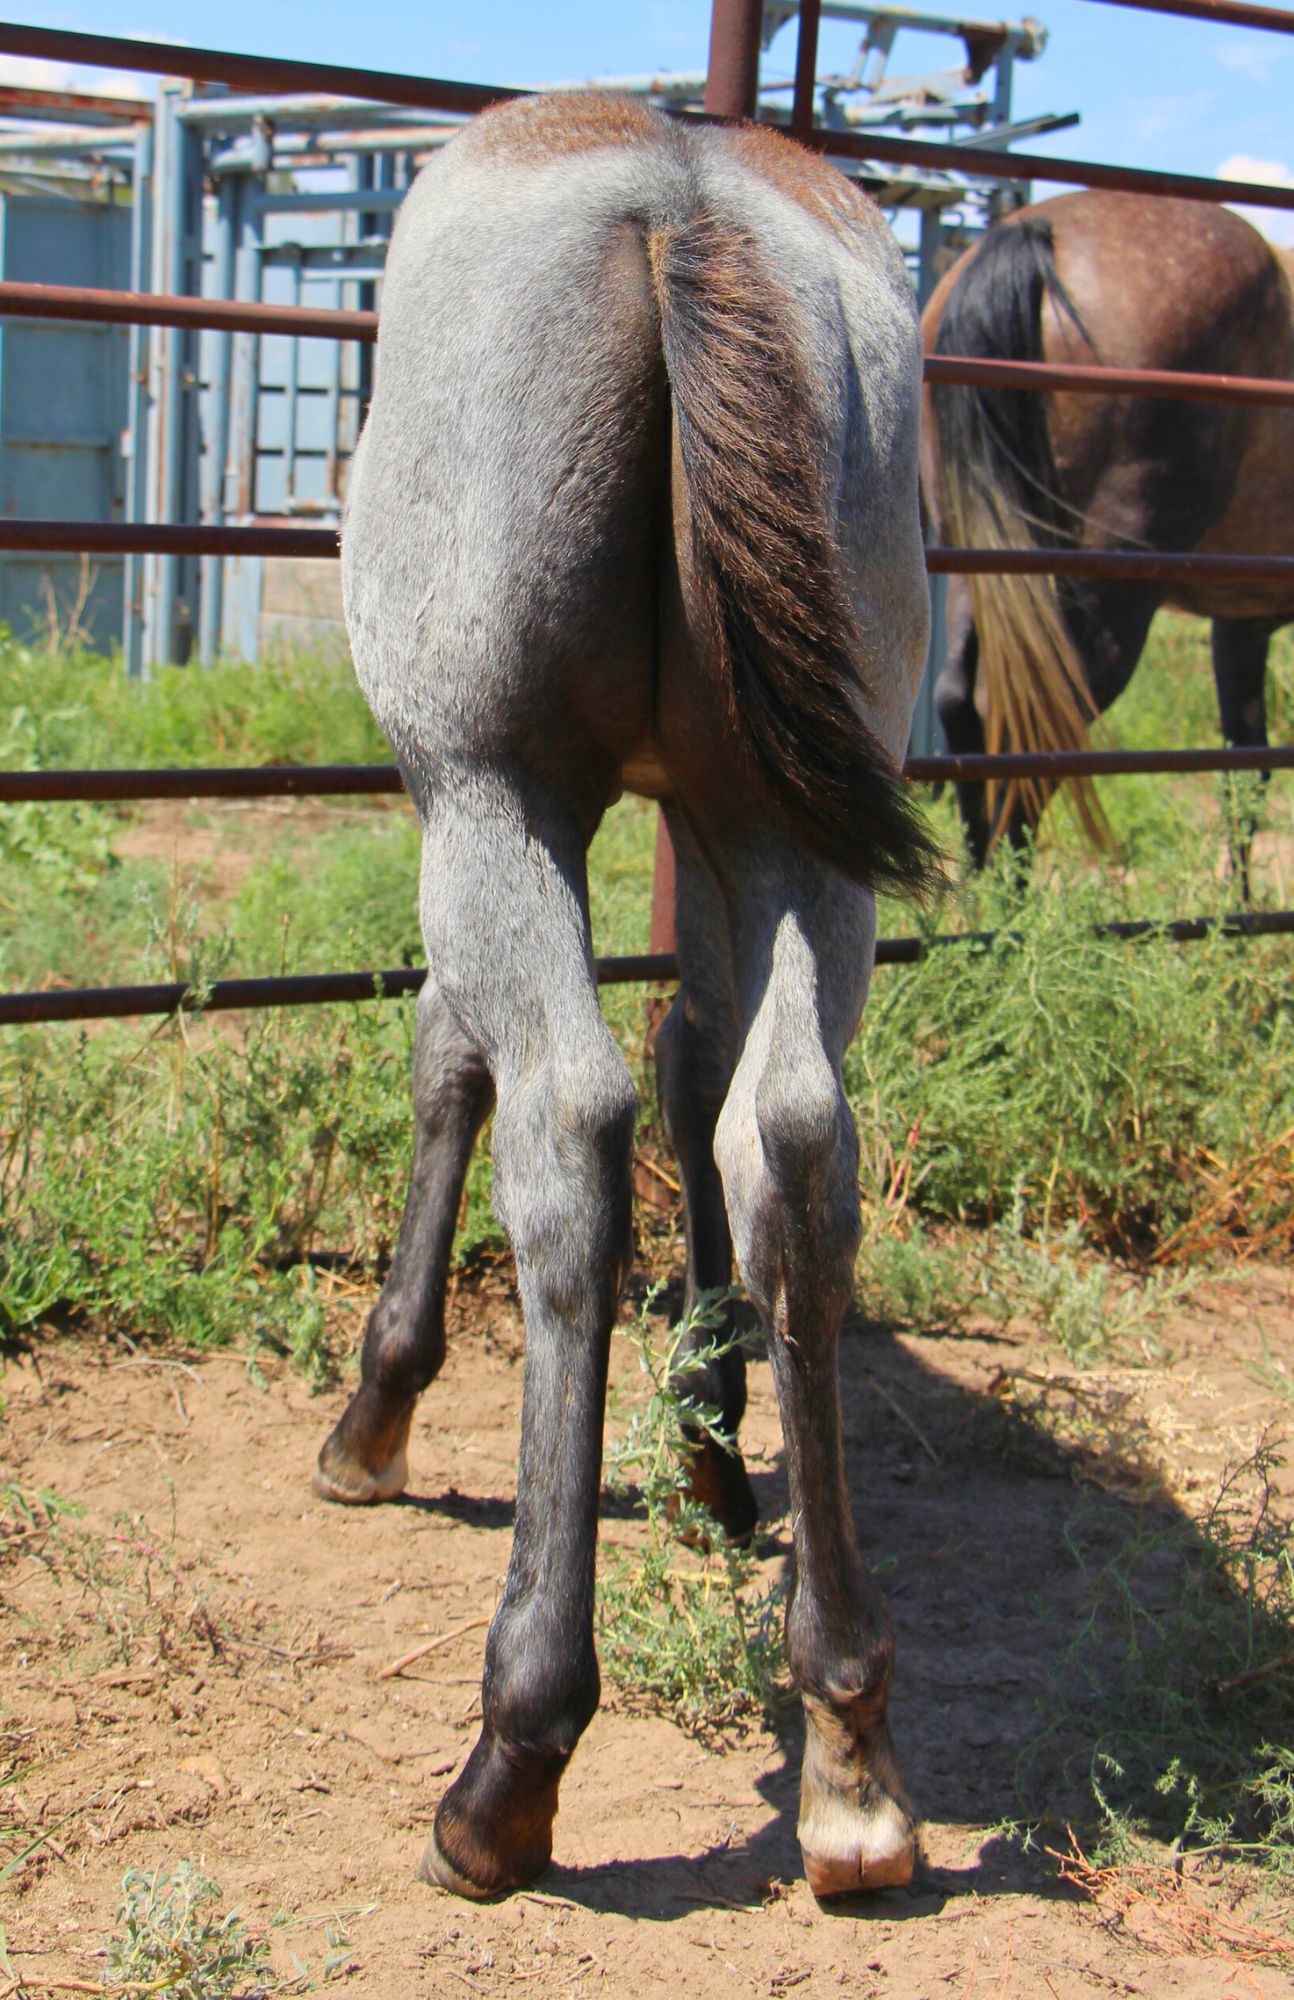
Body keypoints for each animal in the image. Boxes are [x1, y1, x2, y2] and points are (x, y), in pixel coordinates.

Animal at [309, 92, 938, 1902]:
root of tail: (679, 192)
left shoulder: (471, 803)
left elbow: (457, 1066)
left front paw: (377, 1408)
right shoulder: (718, 825)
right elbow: (701, 1069)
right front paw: (713, 1437)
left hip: (495, 795)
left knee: (569, 1133)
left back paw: (511, 1761)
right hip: (800, 835)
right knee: (791, 1138)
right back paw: (849, 1744)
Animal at [920, 189, 1294, 863]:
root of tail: (1036, 233)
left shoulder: (1242, 621)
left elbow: (1245, 776)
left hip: (979, 561)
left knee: (960, 703)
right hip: (1106, 586)